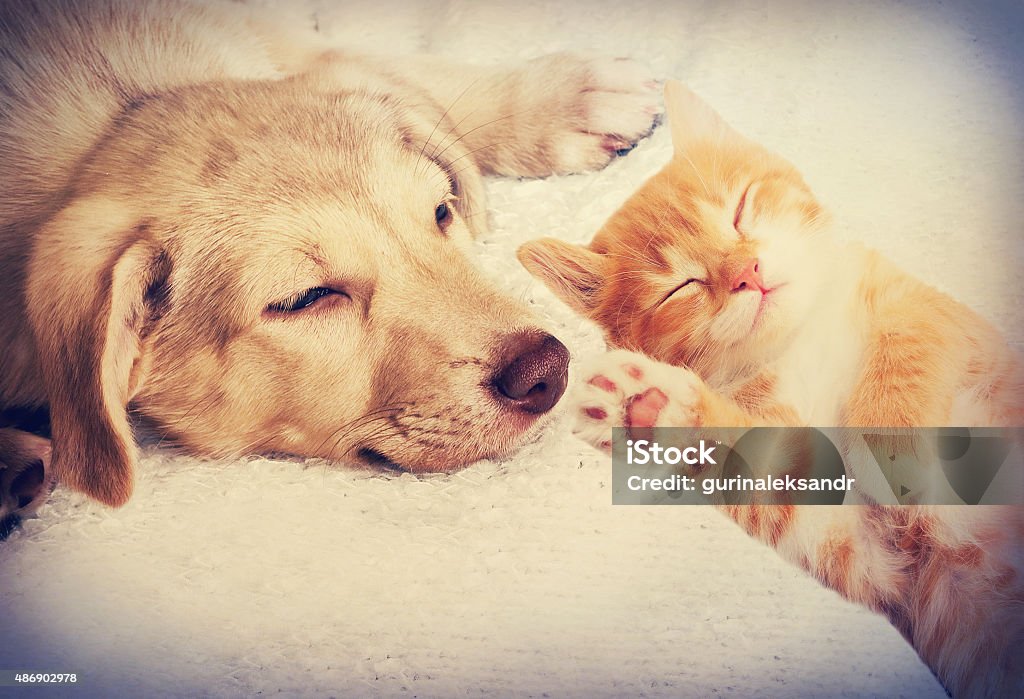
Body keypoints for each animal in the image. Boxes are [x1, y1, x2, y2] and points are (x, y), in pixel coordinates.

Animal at [520, 83, 1024, 699]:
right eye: (680, 287)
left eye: (740, 209)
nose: (748, 271)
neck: (801, 336)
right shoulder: (871, 559)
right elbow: (758, 470)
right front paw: (651, 407)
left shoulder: (934, 315)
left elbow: (907, 342)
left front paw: (893, 451)